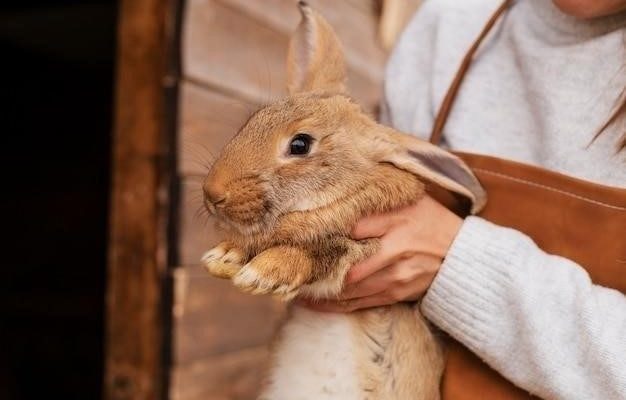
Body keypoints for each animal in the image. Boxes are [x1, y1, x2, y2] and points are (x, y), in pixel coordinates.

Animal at [202, 3, 486, 400]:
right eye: (252, 121)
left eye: (300, 144)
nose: (212, 193)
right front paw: (224, 256)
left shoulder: (362, 249)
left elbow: (321, 252)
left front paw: (266, 272)